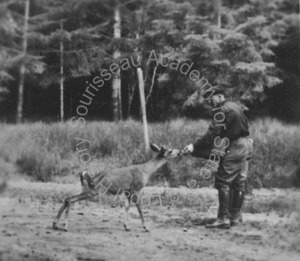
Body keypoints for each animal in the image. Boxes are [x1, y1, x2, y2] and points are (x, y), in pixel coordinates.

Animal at [52, 144, 180, 232]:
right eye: (170, 150)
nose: (179, 152)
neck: (146, 171)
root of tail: (88, 177)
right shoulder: (136, 188)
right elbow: (139, 208)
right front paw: (146, 227)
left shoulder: (127, 190)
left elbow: (127, 207)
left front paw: (126, 226)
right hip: (95, 191)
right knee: (70, 199)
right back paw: (65, 227)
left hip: (87, 189)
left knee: (67, 198)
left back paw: (55, 224)